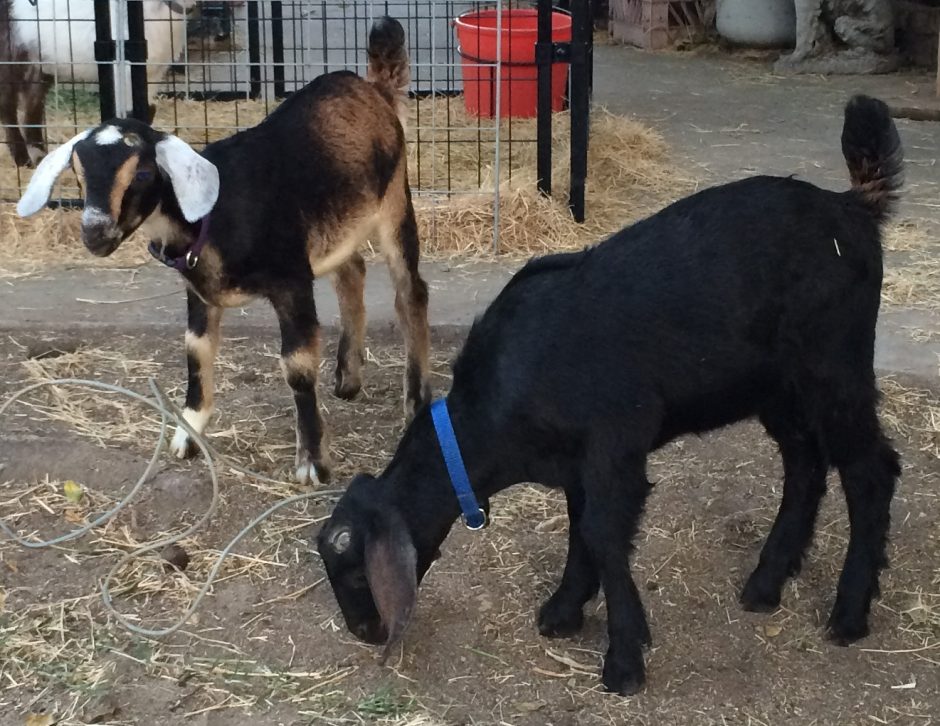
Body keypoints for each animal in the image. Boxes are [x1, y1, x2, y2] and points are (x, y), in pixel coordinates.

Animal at [0, 0, 197, 167]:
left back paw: (39, 155)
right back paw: (22, 159)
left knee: (31, 105)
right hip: (10, 57)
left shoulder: (154, 72)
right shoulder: (123, 70)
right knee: (8, 107)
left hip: (40, 64)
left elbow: (147, 112)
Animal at [16, 16, 431, 487]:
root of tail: (373, 87)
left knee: (410, 292)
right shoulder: (198, 291)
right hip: (338, 223)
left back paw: (416, 399)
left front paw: (312, 463)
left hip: (394, 201)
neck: (214, 215)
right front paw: (188, 435)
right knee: (352, 271)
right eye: (79, 172)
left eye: (141, 172)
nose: (95, 232)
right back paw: (348, 377)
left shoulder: (291, 281)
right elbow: (196, 351)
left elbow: (298, 365)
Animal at [316, 95, 903, 695]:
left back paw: (849, 613)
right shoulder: (578, 466)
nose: (366, 631)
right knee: (805, 465)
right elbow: (583, 532)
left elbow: (602, 536)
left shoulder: (613, 449)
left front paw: (623, 659)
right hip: (779, 390)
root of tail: (853, 208)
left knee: (869, 471)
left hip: (835, 369)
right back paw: (766, 583)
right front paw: (565, 610)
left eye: (354, 571)